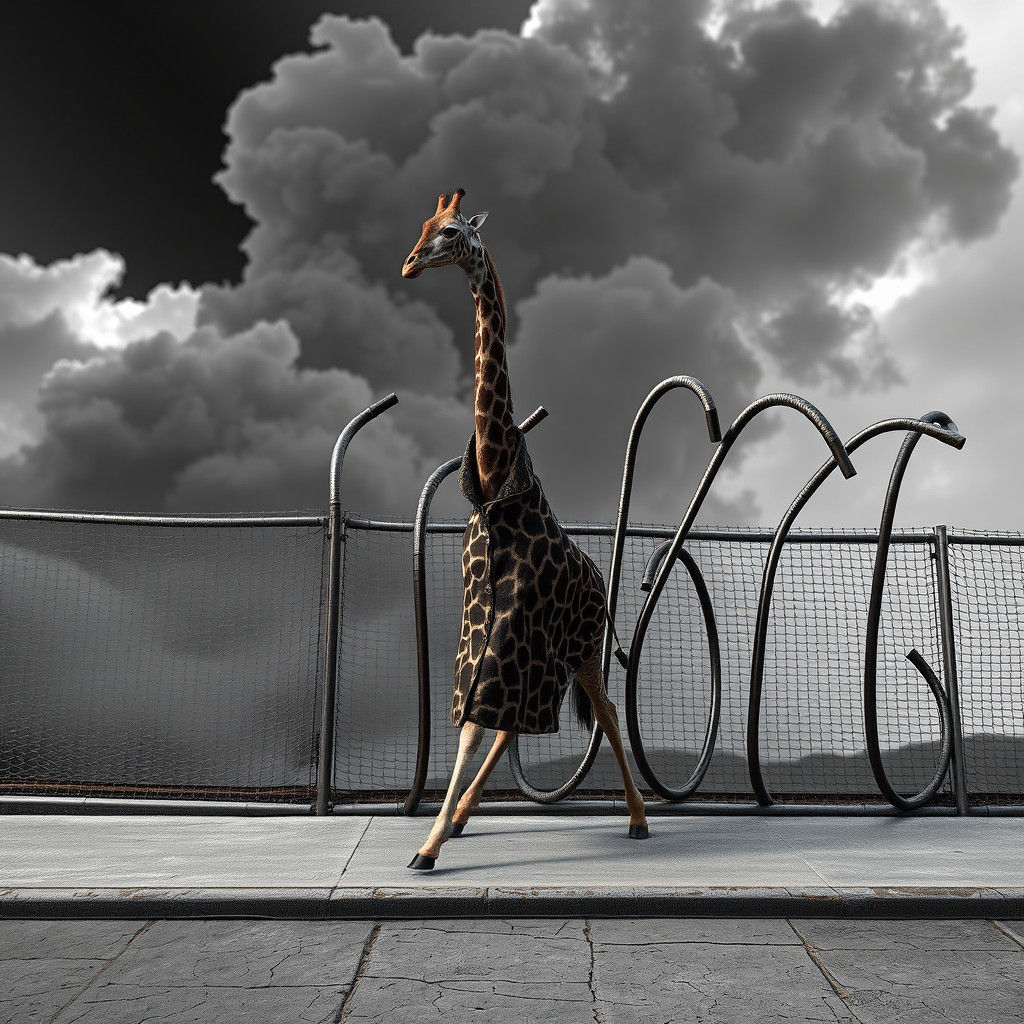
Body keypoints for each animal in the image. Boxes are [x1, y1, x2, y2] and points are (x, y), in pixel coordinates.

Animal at [401, 188, 648, 869]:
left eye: (451, 231)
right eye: (424, 225)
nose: (408, 264)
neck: (493, 480)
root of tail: (599, 584)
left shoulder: (509, 629)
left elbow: (473, 727)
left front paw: (426, 850)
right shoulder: (479, 628)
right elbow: (474, 721)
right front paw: (437, 835)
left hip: (583, 648)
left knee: (607, 709)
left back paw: (640, 820)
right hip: (555, 656)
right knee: (520, 720)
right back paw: (462, 818)